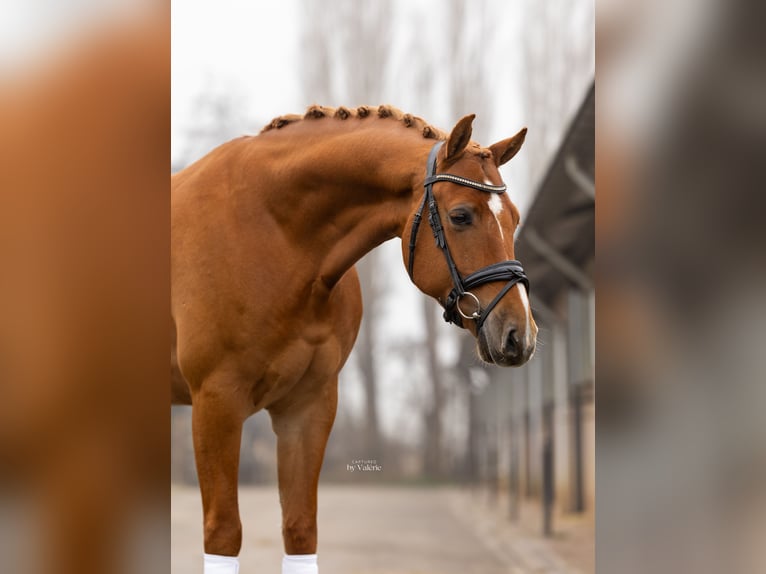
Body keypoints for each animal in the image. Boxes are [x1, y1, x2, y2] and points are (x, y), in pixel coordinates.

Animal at [171, 106, 536, 572]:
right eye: (460, 216)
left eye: (514, 218)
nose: (519, 334)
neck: (272, 234)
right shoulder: (216, 403)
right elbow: (223, 533)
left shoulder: (309, 407)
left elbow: (300, 530)